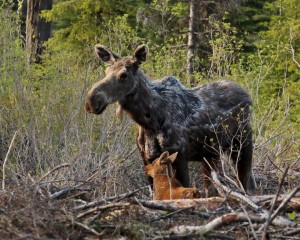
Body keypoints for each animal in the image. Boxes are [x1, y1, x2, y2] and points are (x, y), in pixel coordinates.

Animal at [85, 44, 256, 197]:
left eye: (123, 75)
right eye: (106, 71)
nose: (91, 100)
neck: (147, 121)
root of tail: (247, 95)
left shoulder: (179, 156)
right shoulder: (146, 159)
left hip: (242, 143)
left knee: (247, 184)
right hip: (210, 154)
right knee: (213, 188)